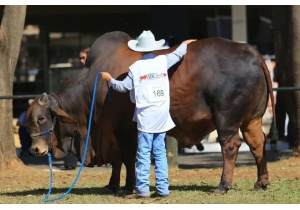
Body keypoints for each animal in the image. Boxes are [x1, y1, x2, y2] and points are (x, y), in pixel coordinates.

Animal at [27, 30, 278, 194]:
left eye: (41, 118)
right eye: (29, 120)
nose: (34, 149)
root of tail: (250, 50)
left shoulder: (123, 130)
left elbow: (127, 157)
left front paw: (129, 186)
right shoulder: (112, 133)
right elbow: (117, 160)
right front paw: (113, 184)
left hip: (226, 118)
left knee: (230, 146)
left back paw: (223, 185)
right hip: (252, 119)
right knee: (257, 142)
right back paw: (262, 181)